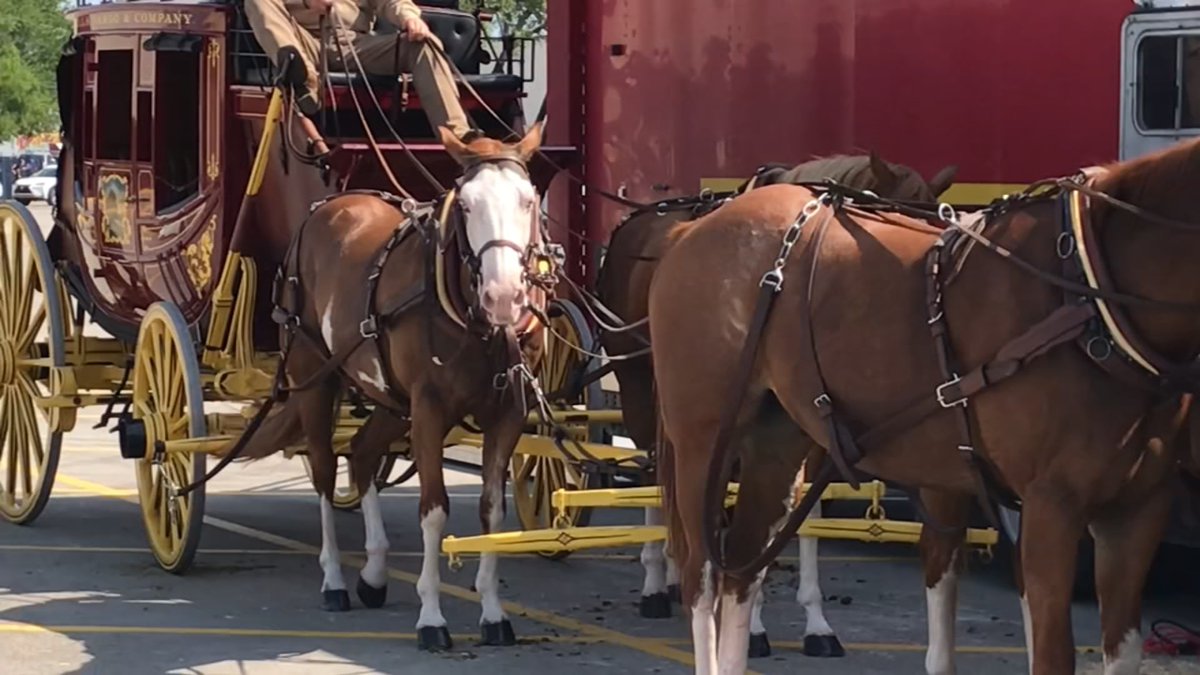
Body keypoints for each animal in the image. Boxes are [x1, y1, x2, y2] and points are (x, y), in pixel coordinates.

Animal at [226, 123, 552, 652]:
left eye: (529, 200)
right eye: (466, 205)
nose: (503, 295)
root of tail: (331, 205)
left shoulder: (507, 413)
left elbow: (492, 511)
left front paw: (492, 612)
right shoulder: (430, 409)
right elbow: (434, 511)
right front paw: (432, 616)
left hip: (393, 401)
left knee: (361, 452)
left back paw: (374, 572)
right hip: (315, 378)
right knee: (324, 471)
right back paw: (334, 579)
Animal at [593, 152, 957, 655]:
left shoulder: (812, 435)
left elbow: (805, 519)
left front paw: (815, 621)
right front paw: (755, 625)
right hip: (642, 390)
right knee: (651, 473)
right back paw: (655, 579)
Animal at [647, 136, 1200, 674]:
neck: (1088, 293)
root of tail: (691, 231)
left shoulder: (1137, 511)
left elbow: (1121, 651)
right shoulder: (1052, 506)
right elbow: (1051, 654)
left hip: (776, 441)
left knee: (744, 569)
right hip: (703, 443)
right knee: (702, 579)